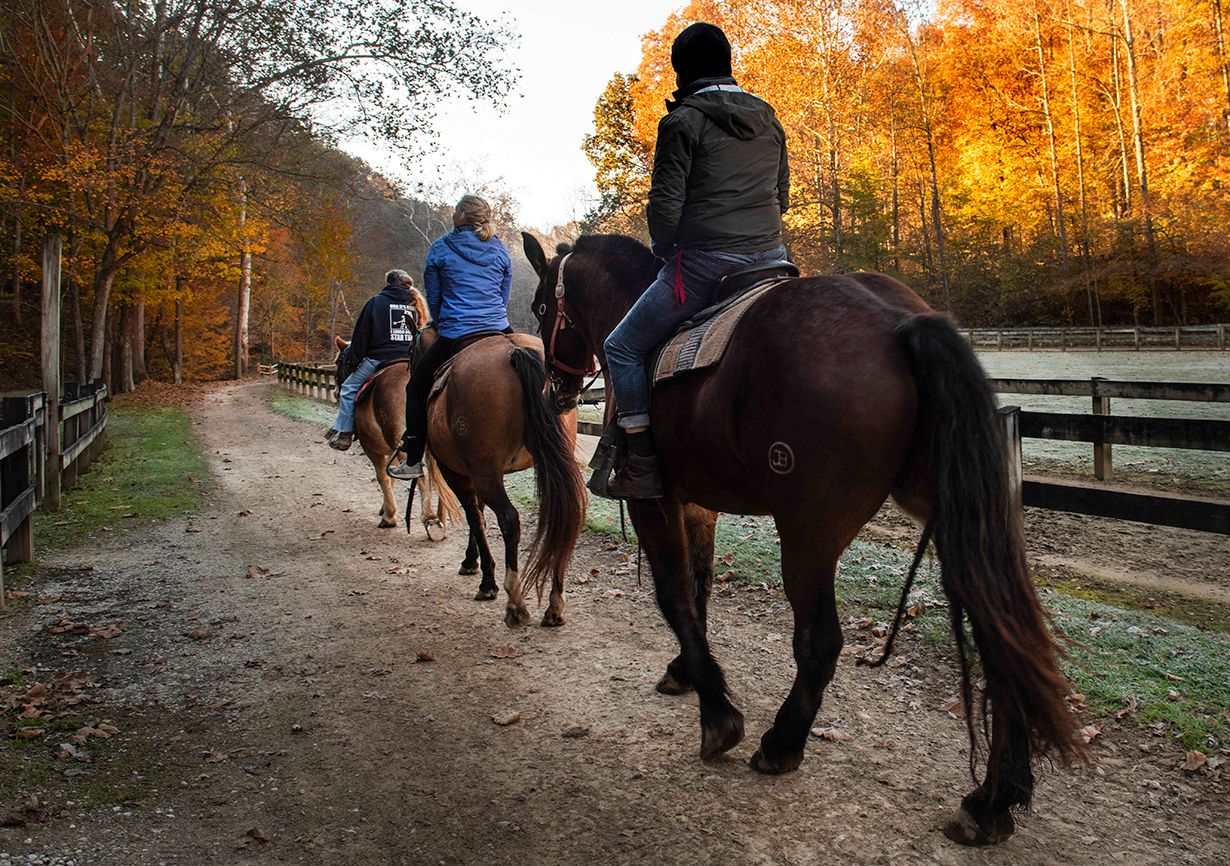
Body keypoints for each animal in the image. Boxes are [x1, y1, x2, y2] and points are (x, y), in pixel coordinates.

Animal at [418, 332, 585, 629]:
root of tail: (515, 350)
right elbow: (480, 515)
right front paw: (472, 561)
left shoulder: (459, 474)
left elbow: (476, 518)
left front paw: (486, 580)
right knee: (565, 515)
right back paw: (555, 605)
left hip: (484, 473)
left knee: (509, 519)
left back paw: (515, 602)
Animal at [523, 231, 1082, 846]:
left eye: (542, 308)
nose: (555, 390)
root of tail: (898, 322)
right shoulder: (697, 505)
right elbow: (698, 590)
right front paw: (687, 672)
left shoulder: (655, 503)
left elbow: (674, 597)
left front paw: (718, 715)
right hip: (946, 512)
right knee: (999, 633)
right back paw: (992, 799)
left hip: (807, 533)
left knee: (821, 641)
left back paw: (782, 742)